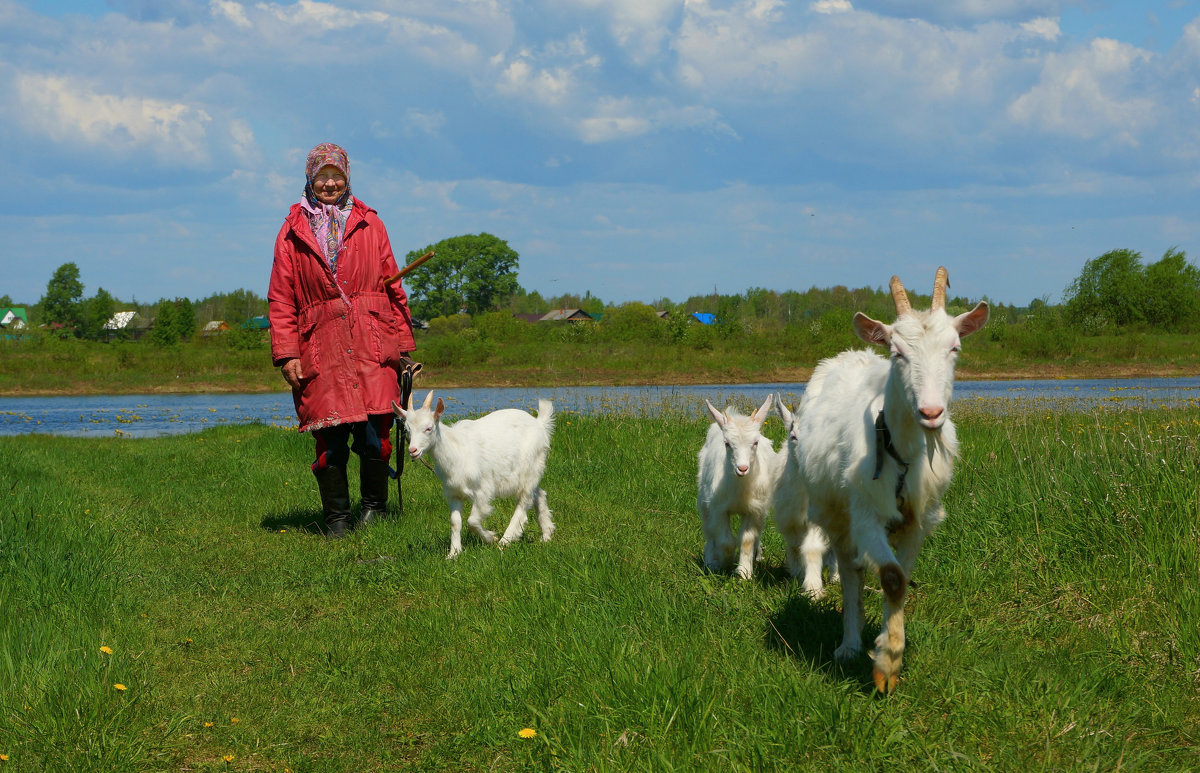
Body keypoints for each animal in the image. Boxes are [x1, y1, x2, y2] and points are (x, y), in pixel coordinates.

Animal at [796, 267, 984, 696]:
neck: (903, 452)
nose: (931, 412)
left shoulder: (919, 520)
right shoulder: (865, 512)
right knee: (850, 569)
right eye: (897, 352)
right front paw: (884, 665)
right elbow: (893, 578)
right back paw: (849, 644)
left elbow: (900, 579)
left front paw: (890, 657)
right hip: (837, 513)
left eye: (954, 348)